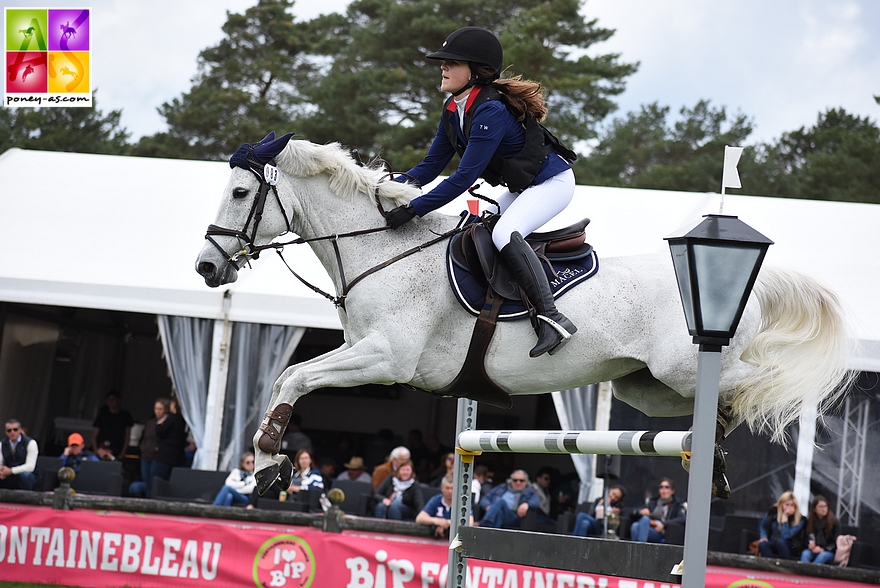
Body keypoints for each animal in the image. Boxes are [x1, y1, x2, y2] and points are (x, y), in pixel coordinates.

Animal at [196, 137, 848, 492]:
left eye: (239, 194)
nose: (206, 268)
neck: (383, 248)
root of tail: (751, 286)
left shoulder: (385, 358)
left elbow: (298, 377)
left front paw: (270, 457)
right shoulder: (359, 349)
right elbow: (288, 378)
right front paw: (270, 464)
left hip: (688, 368)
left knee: (759, 384)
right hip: (645, 388)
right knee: (718, 405)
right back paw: (714, 452)